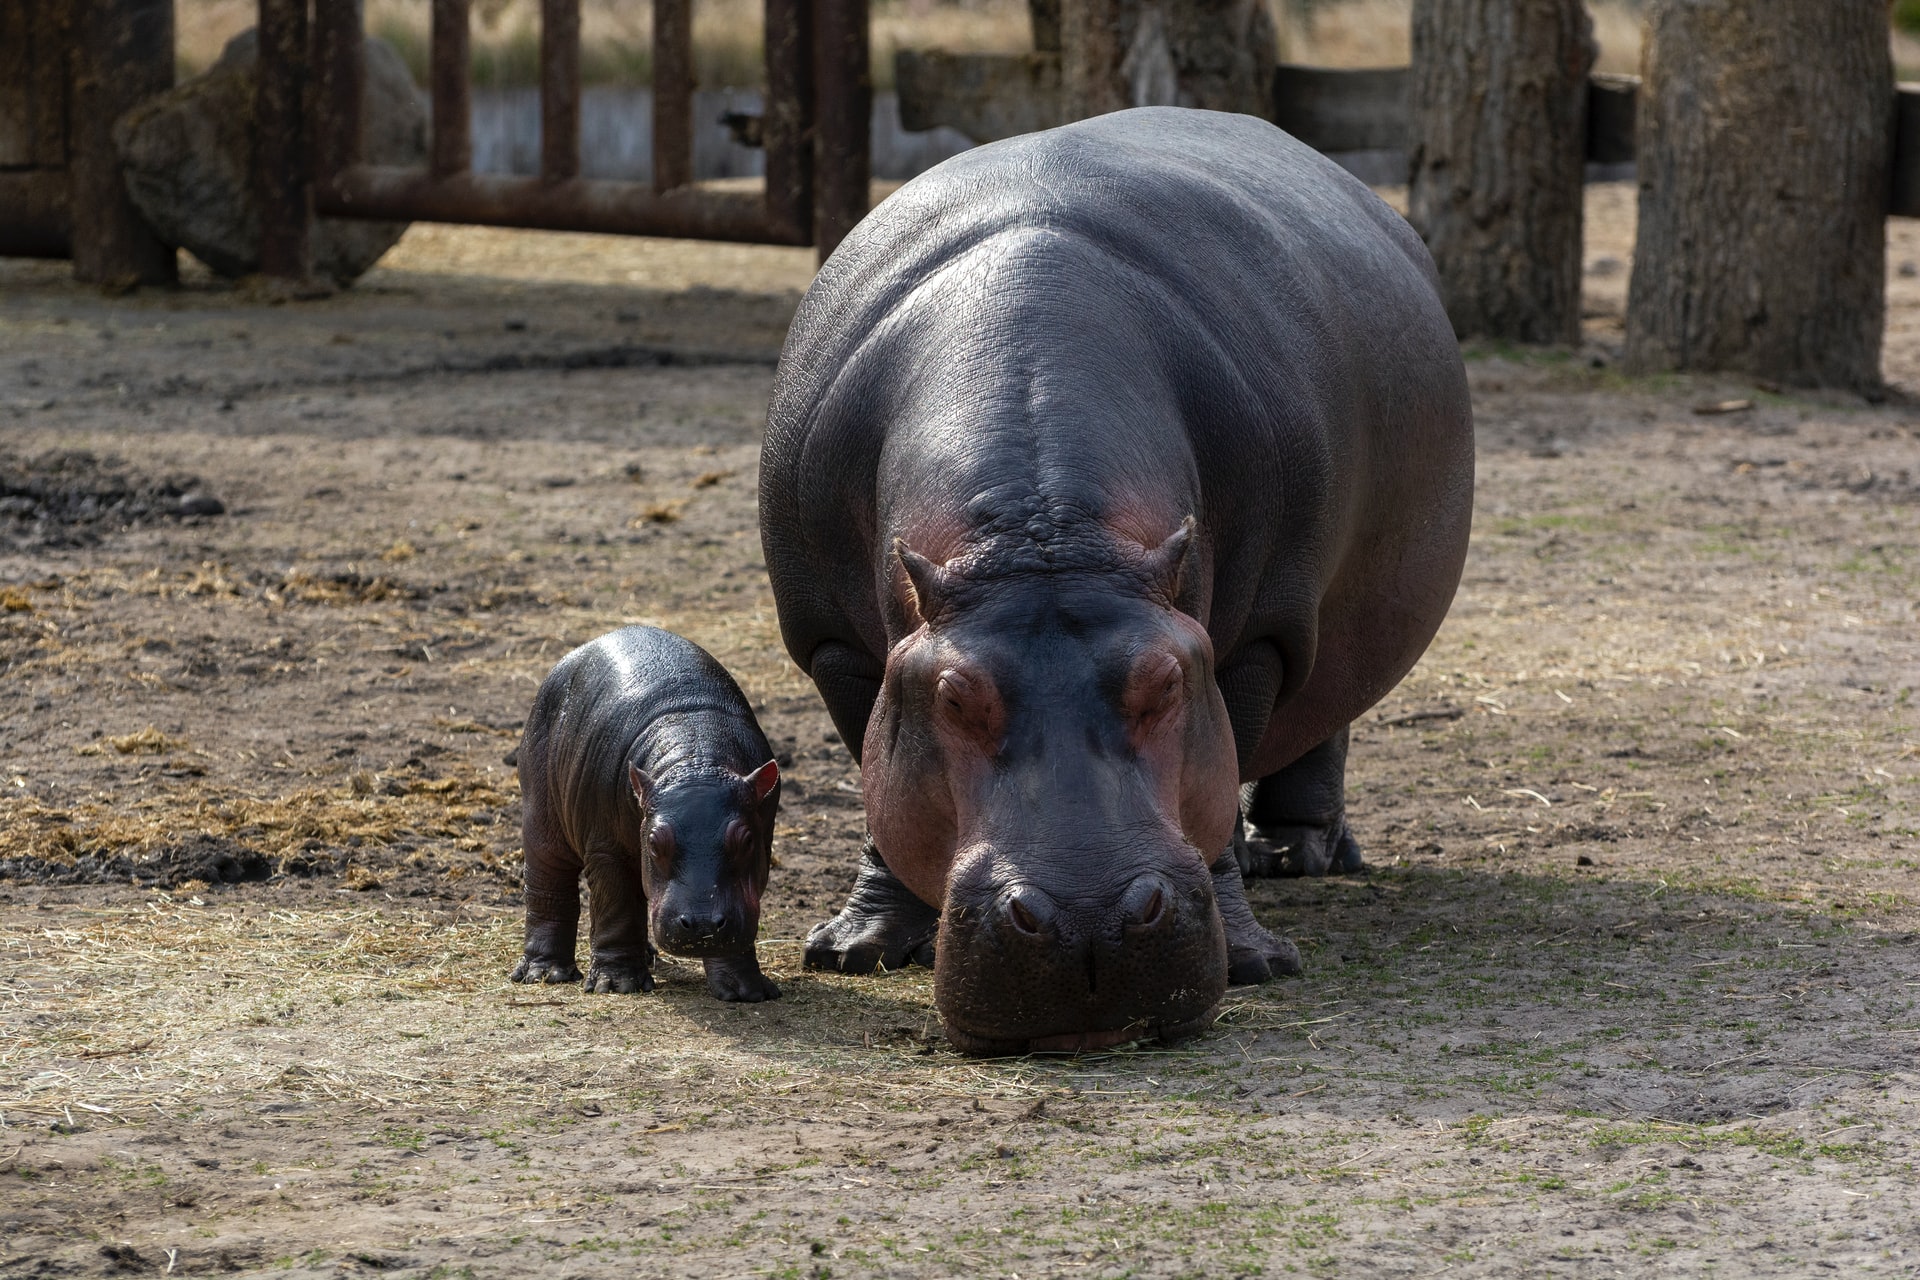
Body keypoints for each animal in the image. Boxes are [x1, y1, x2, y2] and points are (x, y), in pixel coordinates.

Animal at [511, 626, 782, 1002]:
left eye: (746, 841)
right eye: (654, 842)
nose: (701, 923)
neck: (697, 755)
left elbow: (740, 918)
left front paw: (746, 990)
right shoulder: (606, 849)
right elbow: (616, 908)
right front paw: (618, 984)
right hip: (542, 816)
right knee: (549, 884)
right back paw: (545, 973)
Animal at [759, 107, 1473, 1053]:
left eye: (1166, 682)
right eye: (952, 697)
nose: (1085, 922)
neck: (1046, 535)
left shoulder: (1257, 639)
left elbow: (1225, 778)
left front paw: (1254, 961)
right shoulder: (833, 641)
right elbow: (877, 779)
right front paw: (856, 949)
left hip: (1328, 613)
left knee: (1327, 714)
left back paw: (1295, 857)